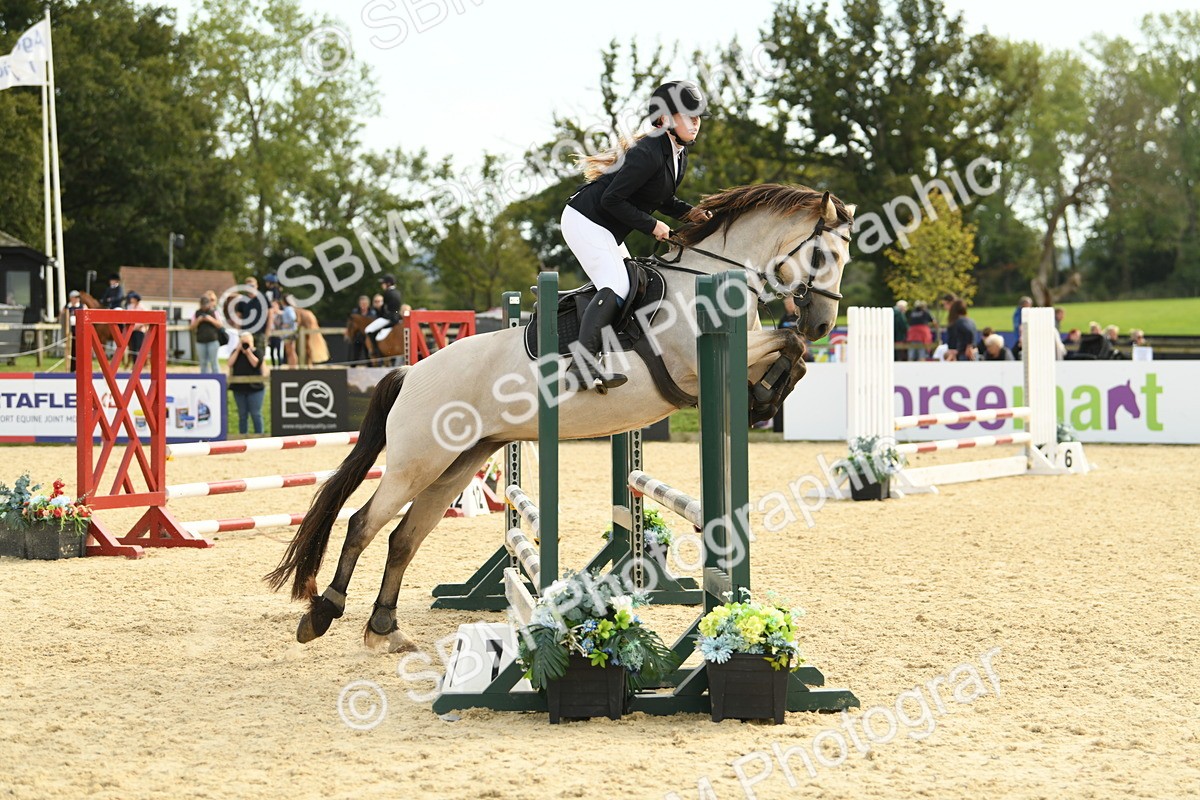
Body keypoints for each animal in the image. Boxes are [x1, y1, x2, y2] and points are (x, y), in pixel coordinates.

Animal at [266, 183, 856, 652]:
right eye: (823, 256)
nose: (824, 323)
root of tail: (412, 374)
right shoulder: (696, 362)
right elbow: (789, 342)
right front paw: (768, 393)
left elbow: (794, 352)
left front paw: (765, 398)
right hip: (418, 463)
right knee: (364, 523)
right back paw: (323, 614)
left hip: (457, 464)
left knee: (404, 538)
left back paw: (384, 629)